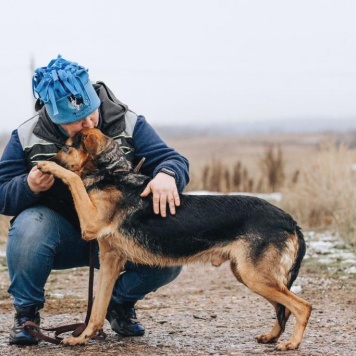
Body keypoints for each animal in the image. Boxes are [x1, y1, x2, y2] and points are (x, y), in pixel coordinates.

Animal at [37, 128, 312, 350]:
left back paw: (291, 343)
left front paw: (51, 168)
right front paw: (82, 338)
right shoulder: (109, 262)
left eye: (65, 147)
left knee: (301, 306)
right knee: (283, 309)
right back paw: (272, 336)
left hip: (255, 277)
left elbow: (73, 178)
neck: (112, 173)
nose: (42, 159)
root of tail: (289, 220)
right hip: (248, 275)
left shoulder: (91, 222)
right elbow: (97, 309)